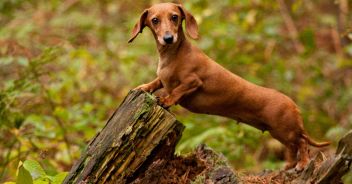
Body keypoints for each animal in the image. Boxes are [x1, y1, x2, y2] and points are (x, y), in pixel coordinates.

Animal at [129, 2, 330, 171]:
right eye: (155, 20)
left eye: (174, 17)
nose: (168, 38)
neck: (173, 55)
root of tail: (294, 105)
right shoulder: (163, 79)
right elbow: (157, 82)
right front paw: (143, 87)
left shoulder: (192, 82)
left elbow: (177, 91)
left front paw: (166, 100)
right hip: (279, 133)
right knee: (295, 146)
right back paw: (290, 165)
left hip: (285, 130)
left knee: (302, 144)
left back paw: (302, 164)